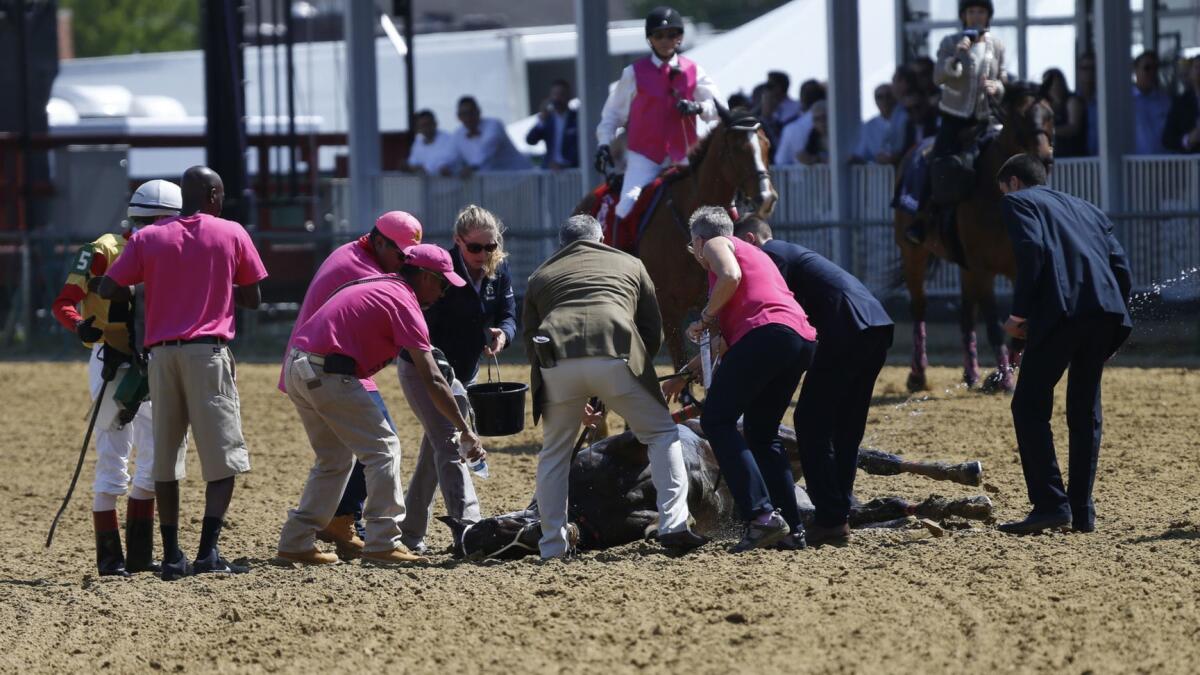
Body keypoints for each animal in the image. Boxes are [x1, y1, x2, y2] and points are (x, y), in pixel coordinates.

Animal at [897, 84, 1056, 391]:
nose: (1045, 156)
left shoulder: (1017, 269)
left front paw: (998, 376)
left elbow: (1017, 330)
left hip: (965, 267)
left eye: (1050, 115)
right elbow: (994, 326)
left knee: (966, 314)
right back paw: (917, 375)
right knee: (919, 307)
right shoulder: (984, 270)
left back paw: (971, 374)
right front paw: (1005, 379)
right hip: (913, 254)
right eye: (1020, 117)